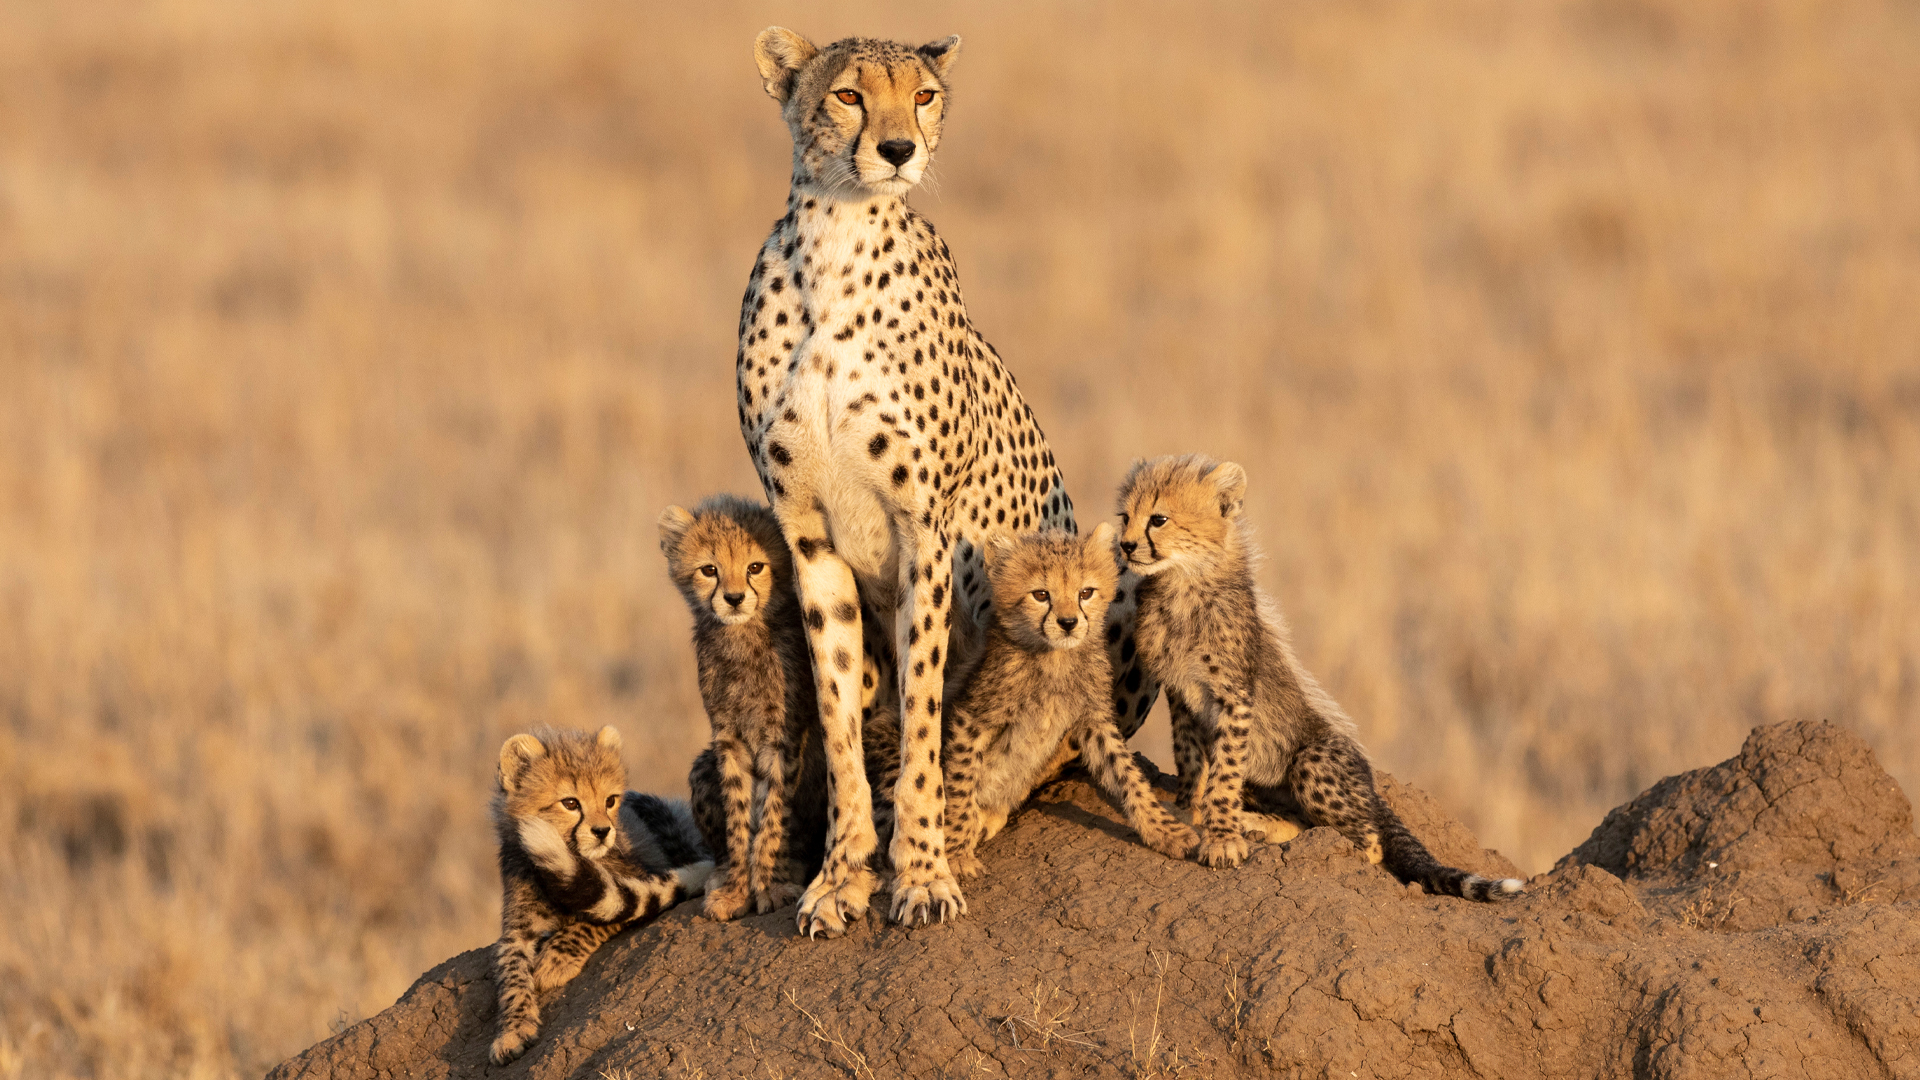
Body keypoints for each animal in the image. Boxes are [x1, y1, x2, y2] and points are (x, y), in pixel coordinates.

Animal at [489, 726, 714, 1065]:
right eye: (570, 802)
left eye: (610, 800)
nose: (602, 831)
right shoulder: (517, 930)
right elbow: (512, 978)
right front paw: (513, 1031)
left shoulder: (641, 880)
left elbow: (597, 919)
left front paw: (556, 960)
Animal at [736, 27, 1160, 936]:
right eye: (849, 94)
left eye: (924, 95)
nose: (899, 150)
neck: (837, 241)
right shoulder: (807, 536)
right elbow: (839, 715)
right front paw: (841, 877)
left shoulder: (923, 532)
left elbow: (928, 716)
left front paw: (923, 872)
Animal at [941, 526, 1198, 882]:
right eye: (1041, 595)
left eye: (1085, 592)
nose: (1068, 623)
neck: (1055, 658)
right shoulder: (972, 717)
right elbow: (961, 783)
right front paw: (956, 853)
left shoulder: (1093, 720)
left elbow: (1127, 775)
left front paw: (1163, 830)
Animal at [1118, 455, 1525, 902]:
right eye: (1125, 517)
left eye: (1158, 519)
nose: (1125, 545)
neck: (1182, 582)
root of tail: (1372, 788)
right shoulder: (1180, 693)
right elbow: (1190, 757)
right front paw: (1187, 807)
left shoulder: (1234, 696)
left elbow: (1224, 771)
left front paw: (1221, 836)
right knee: (1306, 822)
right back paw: (1258, 824)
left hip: (1312, 760)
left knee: (1367, 842)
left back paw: (1290, 837)